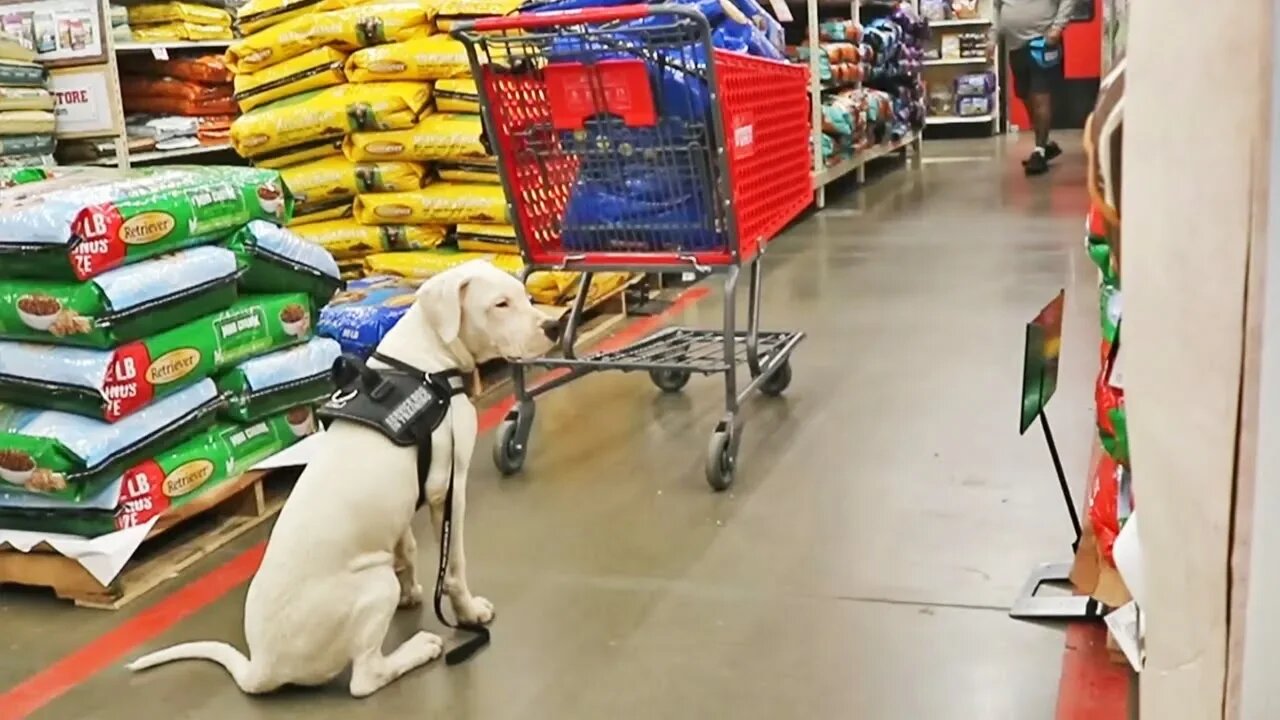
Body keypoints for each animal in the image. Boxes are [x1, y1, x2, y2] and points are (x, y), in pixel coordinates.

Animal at [126, 262, 560, 696]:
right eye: (500, 304)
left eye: (523, 295)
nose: (554, 327)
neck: (427, 361)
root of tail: (261, 668)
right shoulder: (448, 491)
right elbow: (454, 567)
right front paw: (469, 612)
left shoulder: (404, 505)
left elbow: (406, 549)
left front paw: (412, 593)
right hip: (375, 585)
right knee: (366, 678)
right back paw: (419, 649)